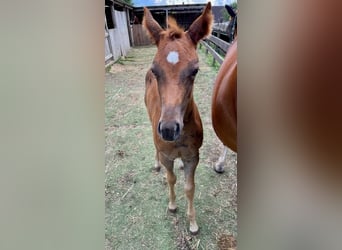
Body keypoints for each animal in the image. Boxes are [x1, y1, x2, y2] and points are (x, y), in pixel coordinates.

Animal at [143, 2, 212, 234]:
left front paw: (193, 223)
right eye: (155, 70)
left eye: (195, 70)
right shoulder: (167, 155)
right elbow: (170, 179)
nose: (168, 129)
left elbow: (189, 187)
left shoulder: (193, 156)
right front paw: (172, 206)